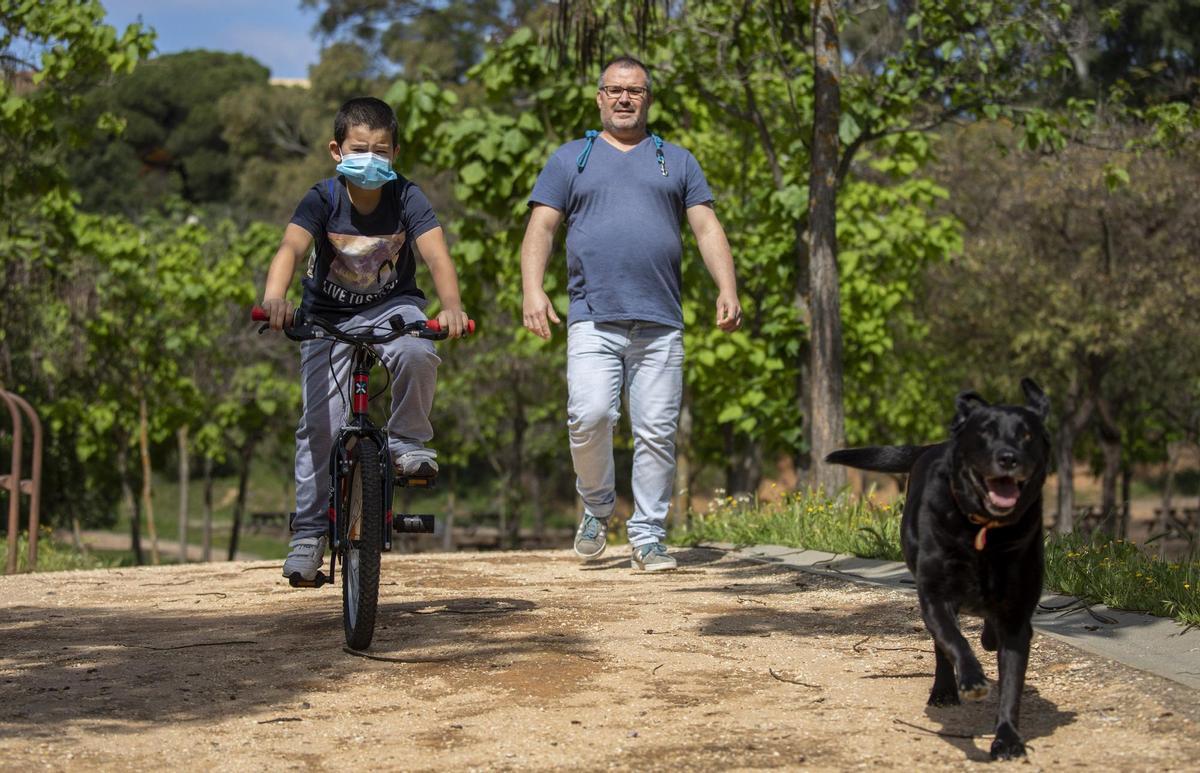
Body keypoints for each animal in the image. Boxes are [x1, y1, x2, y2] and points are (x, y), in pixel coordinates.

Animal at [825, 376, 1051, 758]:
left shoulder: (1017, 615)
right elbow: (955, 643)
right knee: (942, 647)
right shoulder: (935, 598)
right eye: (985, 432)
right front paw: (971, 679)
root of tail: (931, 446)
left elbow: (1012, 685)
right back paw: (945, 689)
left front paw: (1007, 738)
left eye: (1027, 435)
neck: (984, 532)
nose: (1008, 458)